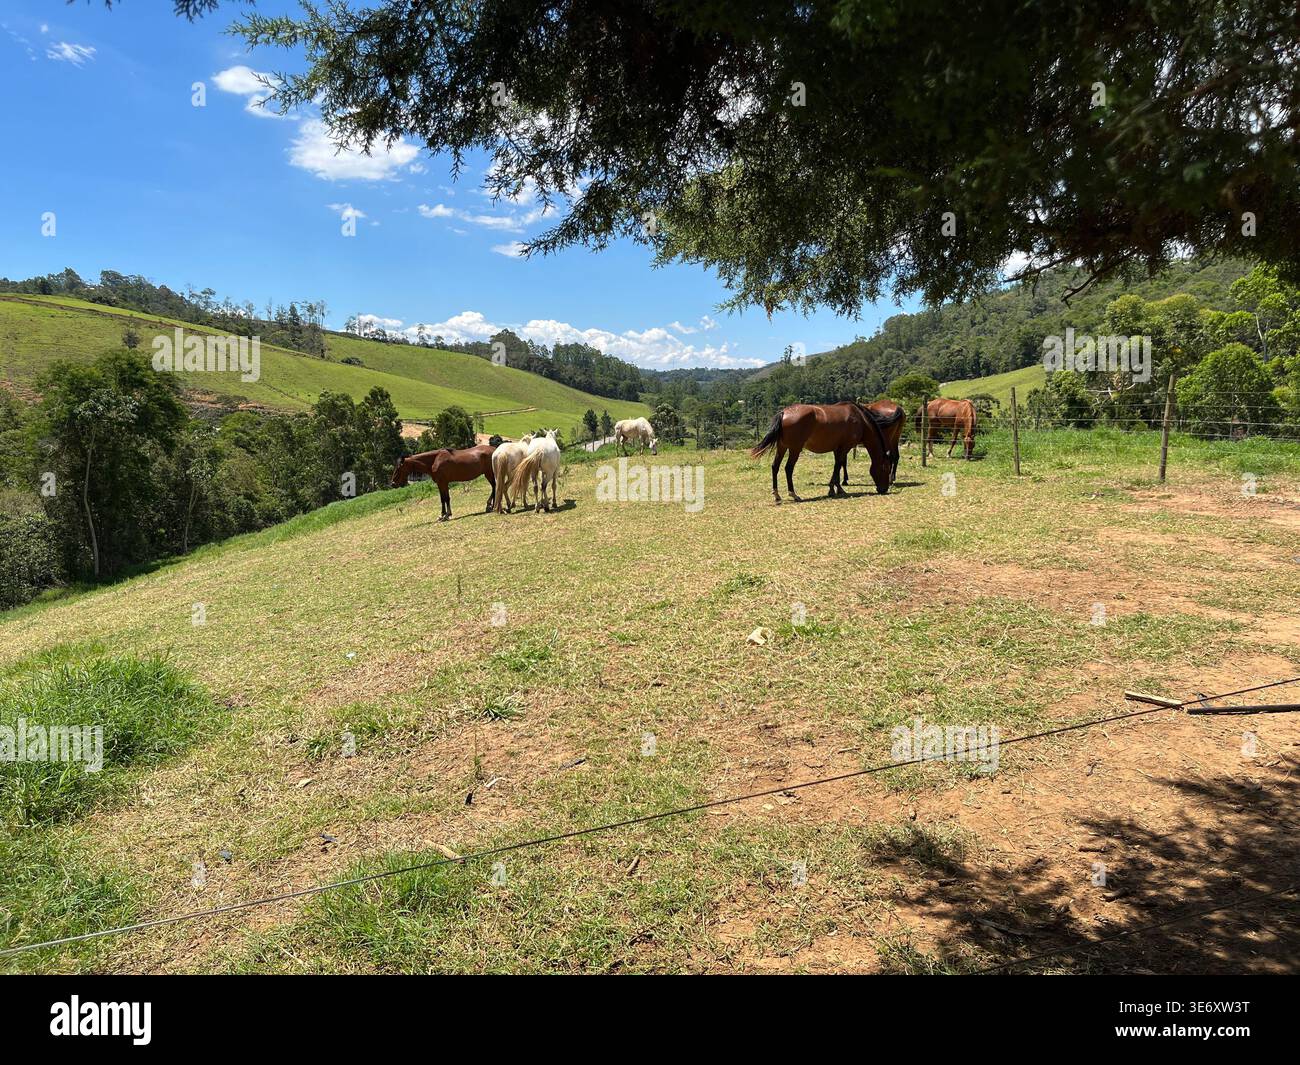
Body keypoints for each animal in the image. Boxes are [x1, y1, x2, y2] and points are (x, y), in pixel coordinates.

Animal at [750, 402, 891, 503]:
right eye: (886, 469)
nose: (884, 489)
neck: (859, 419)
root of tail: (784, 413)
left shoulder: (837, 449)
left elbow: (838, 466)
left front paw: (838, 488)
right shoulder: (845, 448)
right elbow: (838, 466)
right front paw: (832, 489)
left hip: (782, 447)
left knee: (775, 467)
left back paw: (777, 495)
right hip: (795, 449)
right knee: (788, 468)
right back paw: (794, 494)